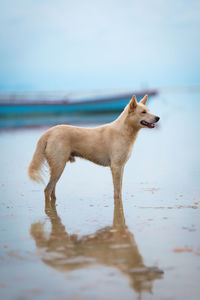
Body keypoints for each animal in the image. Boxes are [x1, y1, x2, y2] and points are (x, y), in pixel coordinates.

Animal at [28, 94, 159, 202]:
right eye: (143, 112)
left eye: (148, 111)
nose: (158, 118)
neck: (124, 130)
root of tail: (49, 132)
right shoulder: (116, 167)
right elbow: (117, 192)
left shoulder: (121, 167)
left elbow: (119, 189)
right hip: (59, 166)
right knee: (47, 190)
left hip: (57, 167)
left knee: (52, 191)